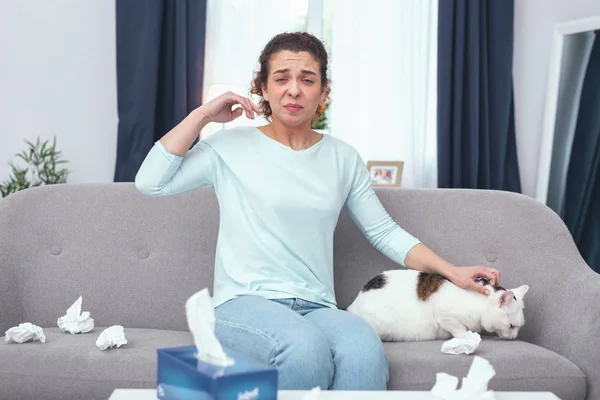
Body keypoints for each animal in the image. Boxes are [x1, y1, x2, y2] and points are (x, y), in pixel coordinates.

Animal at [346, 268, 528, 340]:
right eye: (512, 326)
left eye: (518, 327)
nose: (515, 337)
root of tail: (353, 305)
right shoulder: (443, 313)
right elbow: (458, 327)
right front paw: (466, 336)